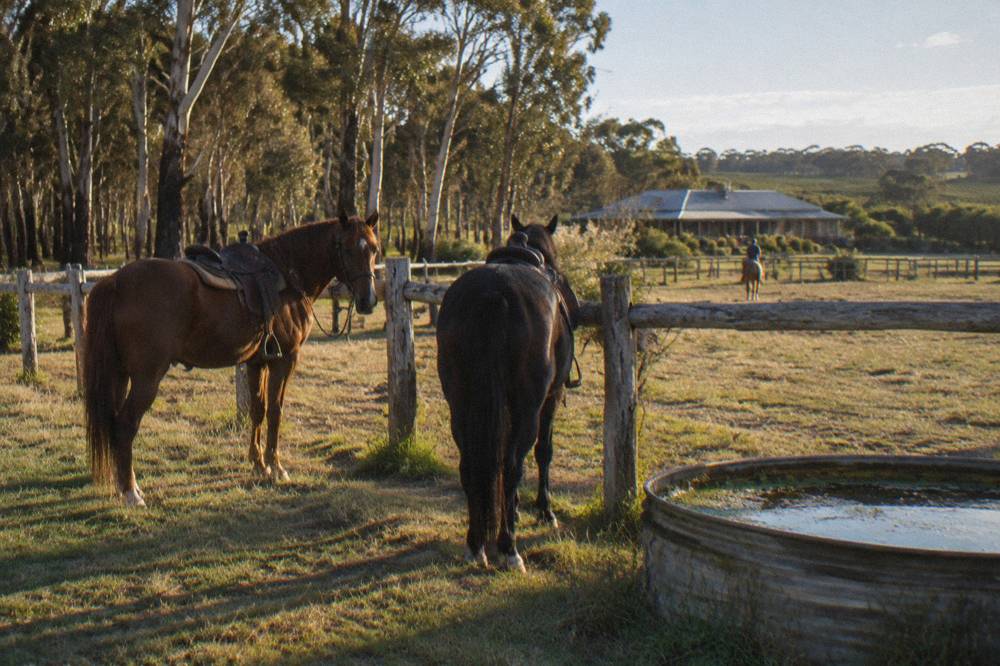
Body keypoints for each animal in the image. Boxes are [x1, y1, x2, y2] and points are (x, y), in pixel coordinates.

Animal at [82, 213, 380, 507]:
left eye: (374, 249)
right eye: (347, 248)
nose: (368, 301)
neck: (287, 275)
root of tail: (115, 282)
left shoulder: (257, 361)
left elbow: (258, 409)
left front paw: (259, 465)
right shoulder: (285, 359)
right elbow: (275, 410)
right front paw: (277, 468)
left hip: (119, 374)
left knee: (113, 424)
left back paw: (125, 485)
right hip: (146, 378)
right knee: (125, 425)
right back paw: (131, 493)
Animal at [436, 214, 579, 572]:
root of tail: (493, 295)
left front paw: (512, 509)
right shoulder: (550, 398)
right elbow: (543, 451)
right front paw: (544, 510)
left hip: (460, 403)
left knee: (470, 464)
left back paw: (476, 544)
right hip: (529, 406)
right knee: (514, 463)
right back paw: (509, 547)